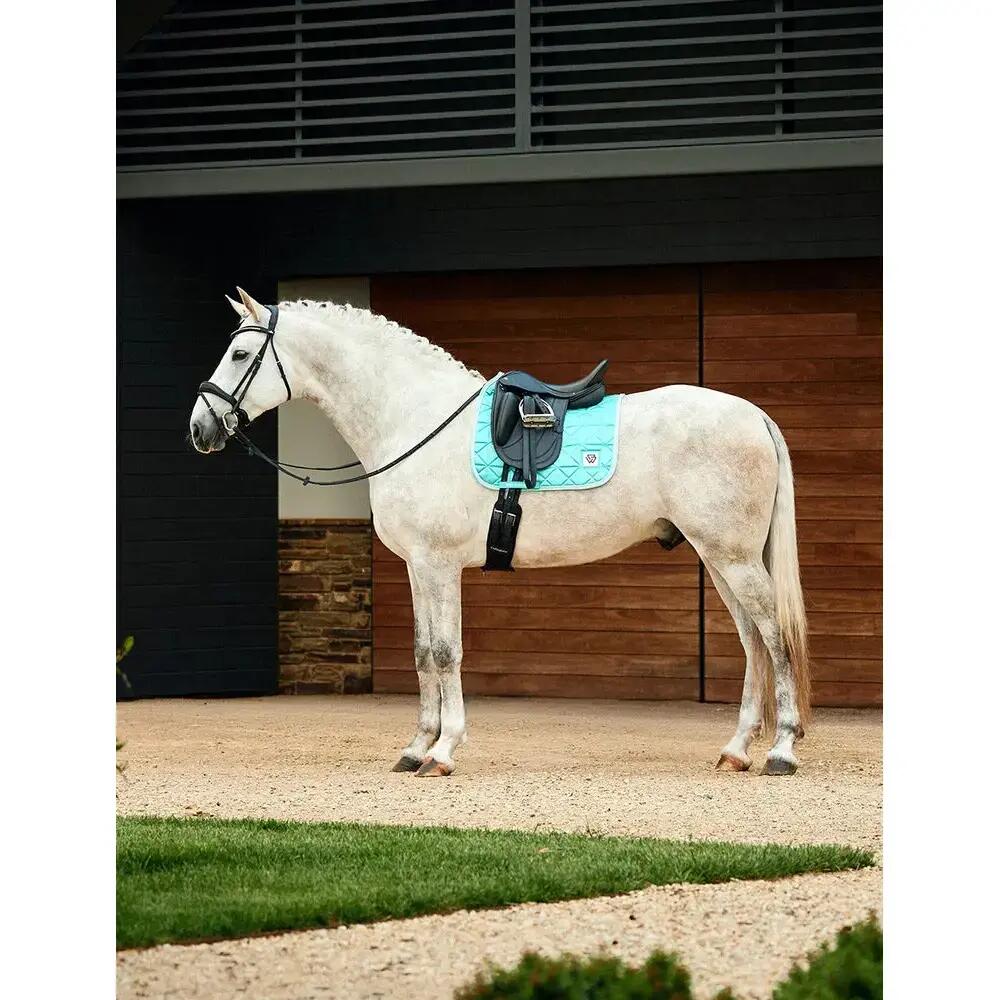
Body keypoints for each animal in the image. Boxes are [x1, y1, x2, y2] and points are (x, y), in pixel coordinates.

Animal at [189, 287, 811, 778]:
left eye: (240, 352)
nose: (200, 428)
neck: (413, 419)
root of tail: (754, 415)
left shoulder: (438, 564)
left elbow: (446, 652)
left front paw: (444, 752)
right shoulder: (418, 566)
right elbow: (422, 652)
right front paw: (415, 747)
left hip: (733, 558)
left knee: (773, 636)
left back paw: (780, 750)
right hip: (721, 559)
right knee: (752, 641)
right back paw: (736, 749)